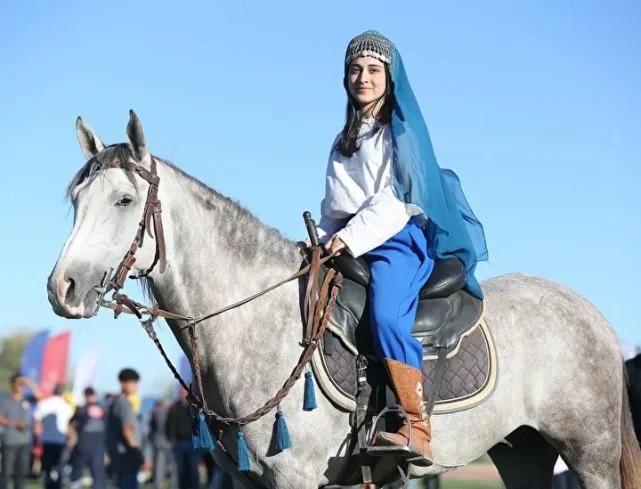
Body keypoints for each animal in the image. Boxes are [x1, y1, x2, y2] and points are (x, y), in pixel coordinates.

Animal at [47, 110, 641, 489]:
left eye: (124, 200)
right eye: (76, 199)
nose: (62, 288)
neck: (256, 319)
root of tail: (593, 316)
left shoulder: (294, 478)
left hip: (589, 454)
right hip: (522, 451)